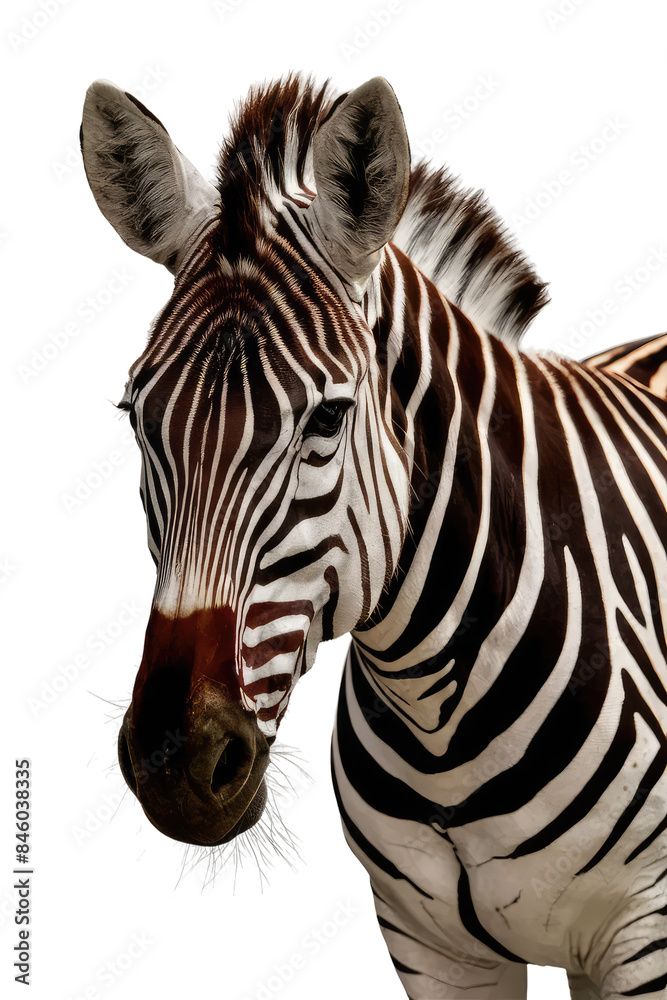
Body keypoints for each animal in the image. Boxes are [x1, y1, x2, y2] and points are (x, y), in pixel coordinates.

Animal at [80, 75, 667, 999]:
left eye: (327, 418)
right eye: (137, 417)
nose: (175, 763)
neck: (439, 725)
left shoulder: (646, 931)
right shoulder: (431, 948)